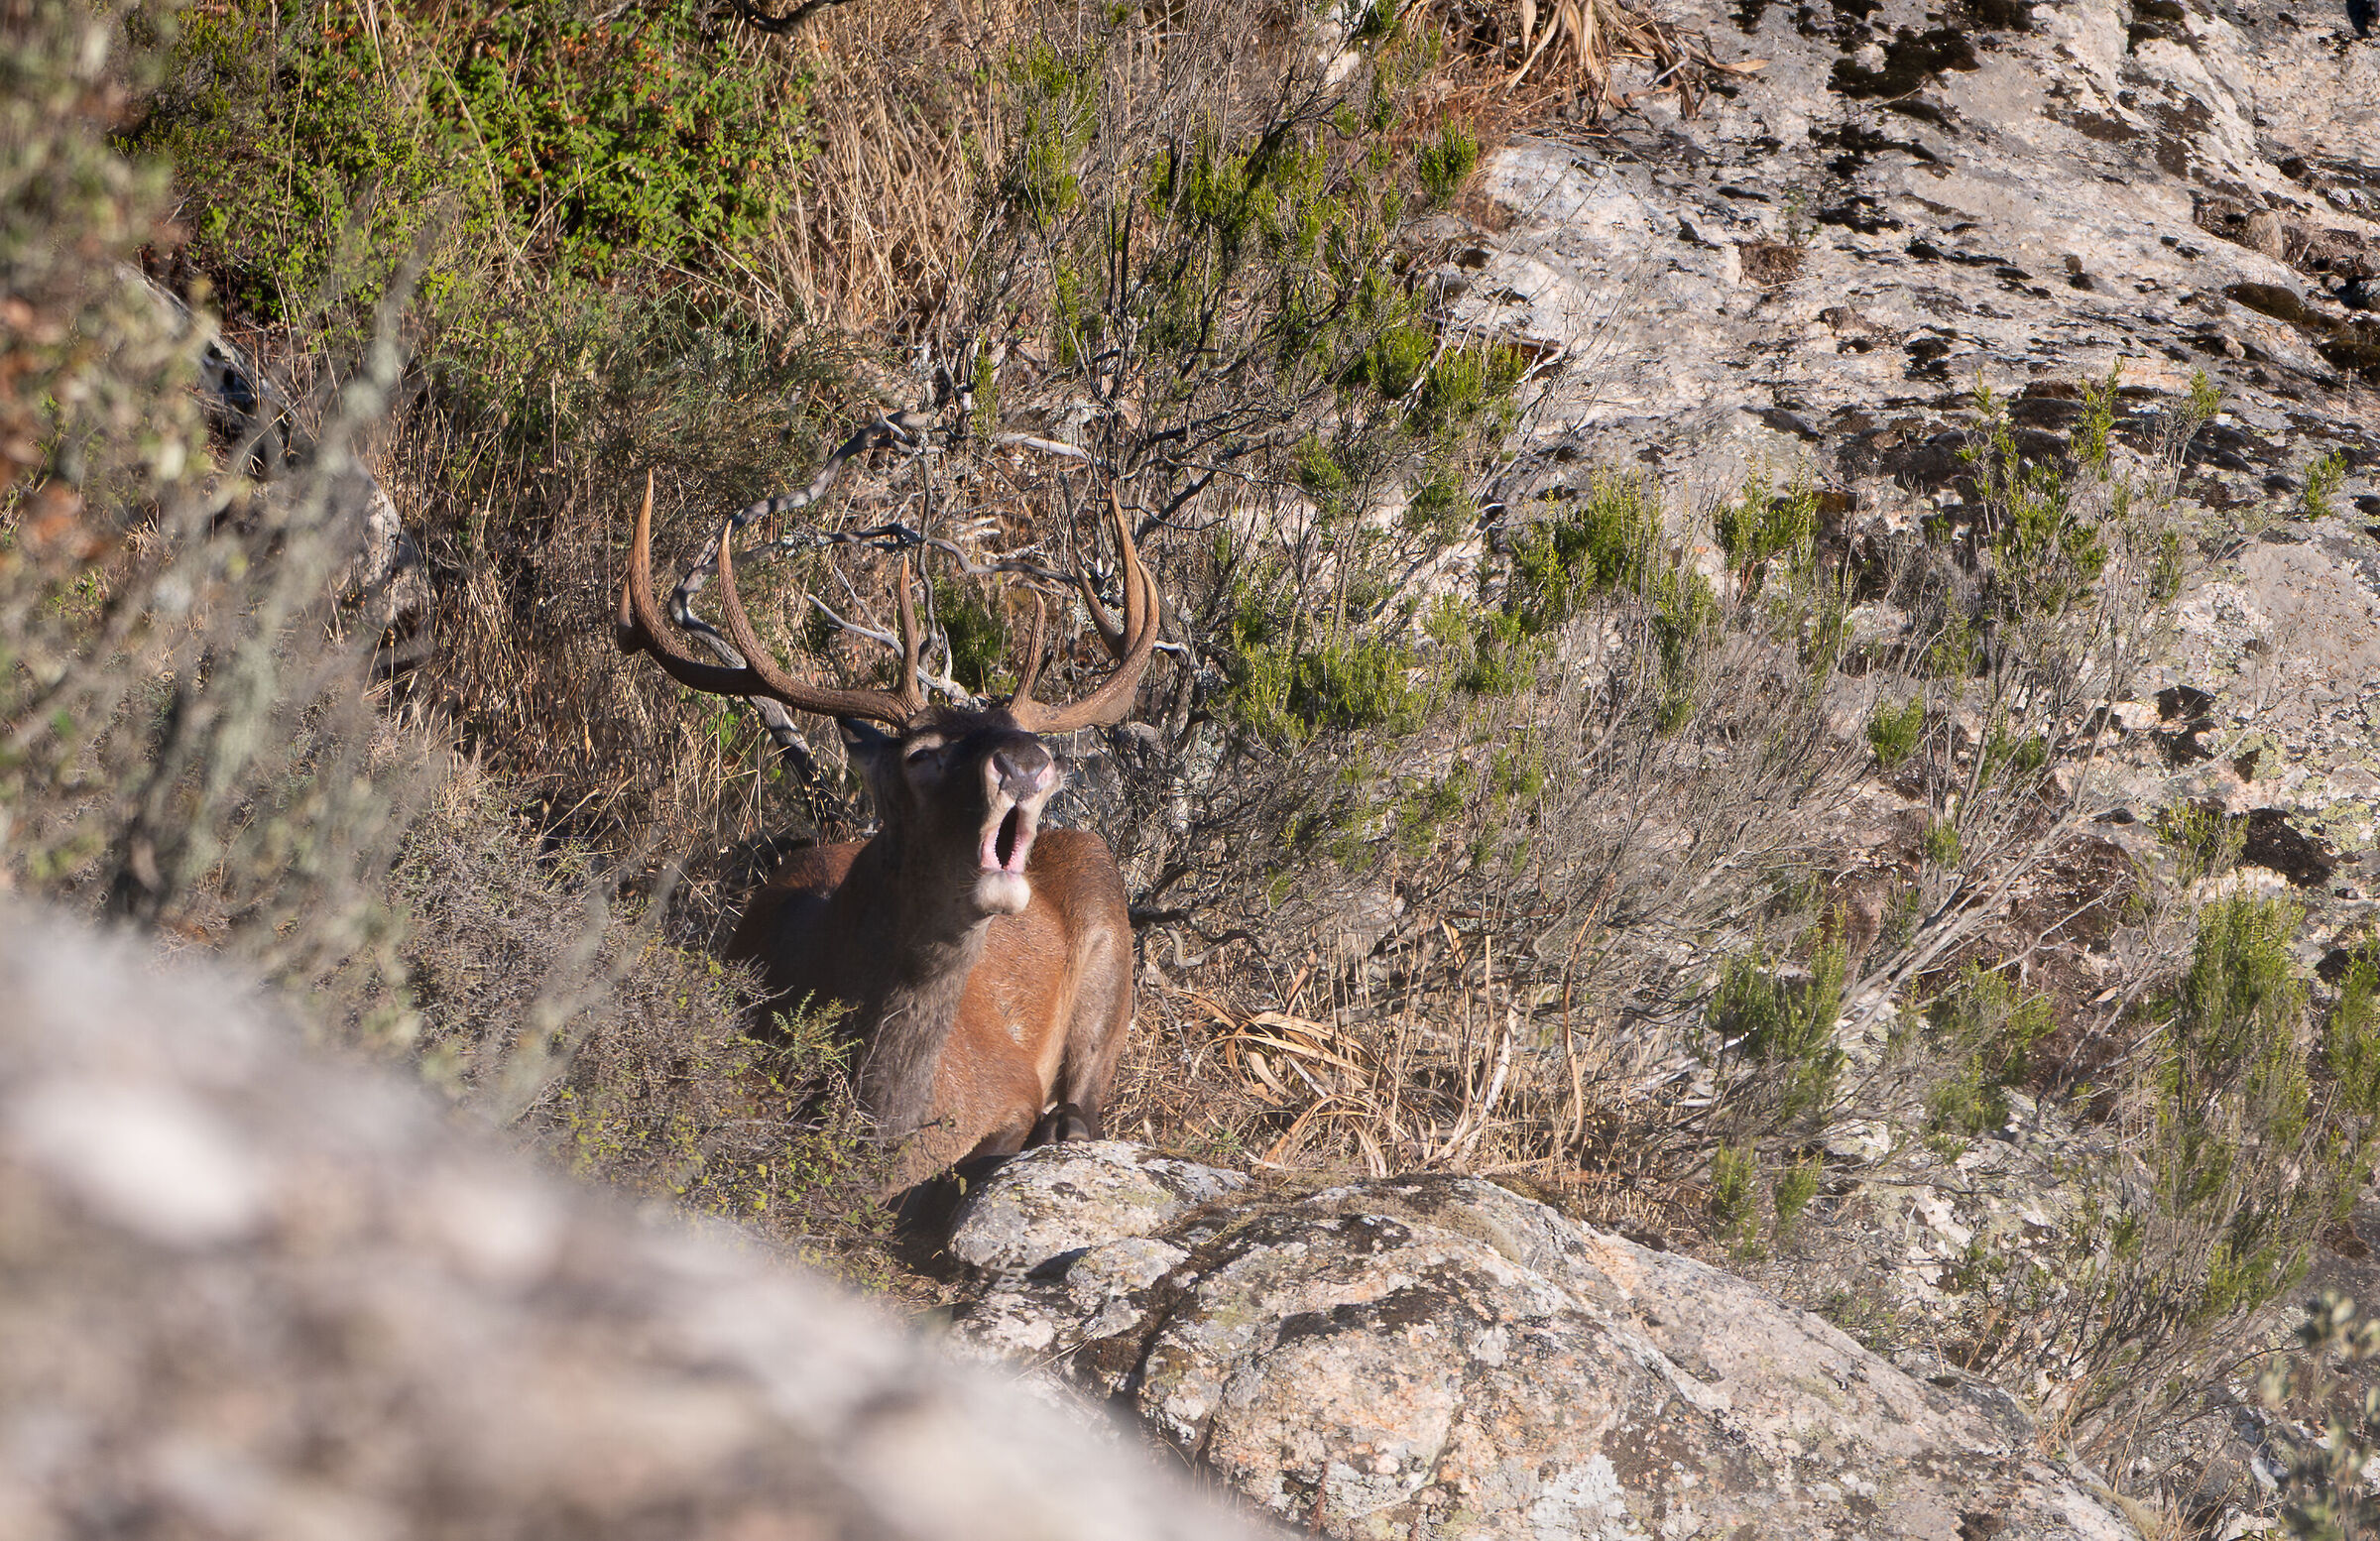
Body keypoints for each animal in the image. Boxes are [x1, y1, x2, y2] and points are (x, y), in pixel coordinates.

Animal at [615, 470, 1160, 1178]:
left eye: (1026, 739)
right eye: (921, 754)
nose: (1026, 763)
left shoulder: (1012, 1090)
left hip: (1107, 932)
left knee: (1082, 1106)